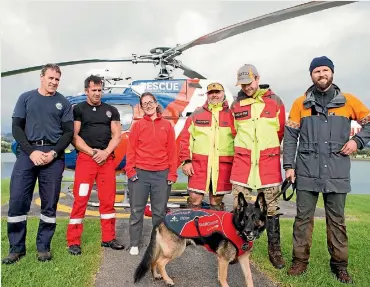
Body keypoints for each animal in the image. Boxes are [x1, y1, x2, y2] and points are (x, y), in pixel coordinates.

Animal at [134, 192, 268, 286]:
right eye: (245, 217)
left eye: (256, 218)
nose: (247, 231)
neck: (236, 226)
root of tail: (161, 219)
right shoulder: (224, 260)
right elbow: (224, 279)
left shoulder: (242, 259)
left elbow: (249, 278)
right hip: (176, 250)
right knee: (160, 262)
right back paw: (168, 280)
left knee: (154, 260)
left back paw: (156, 275)